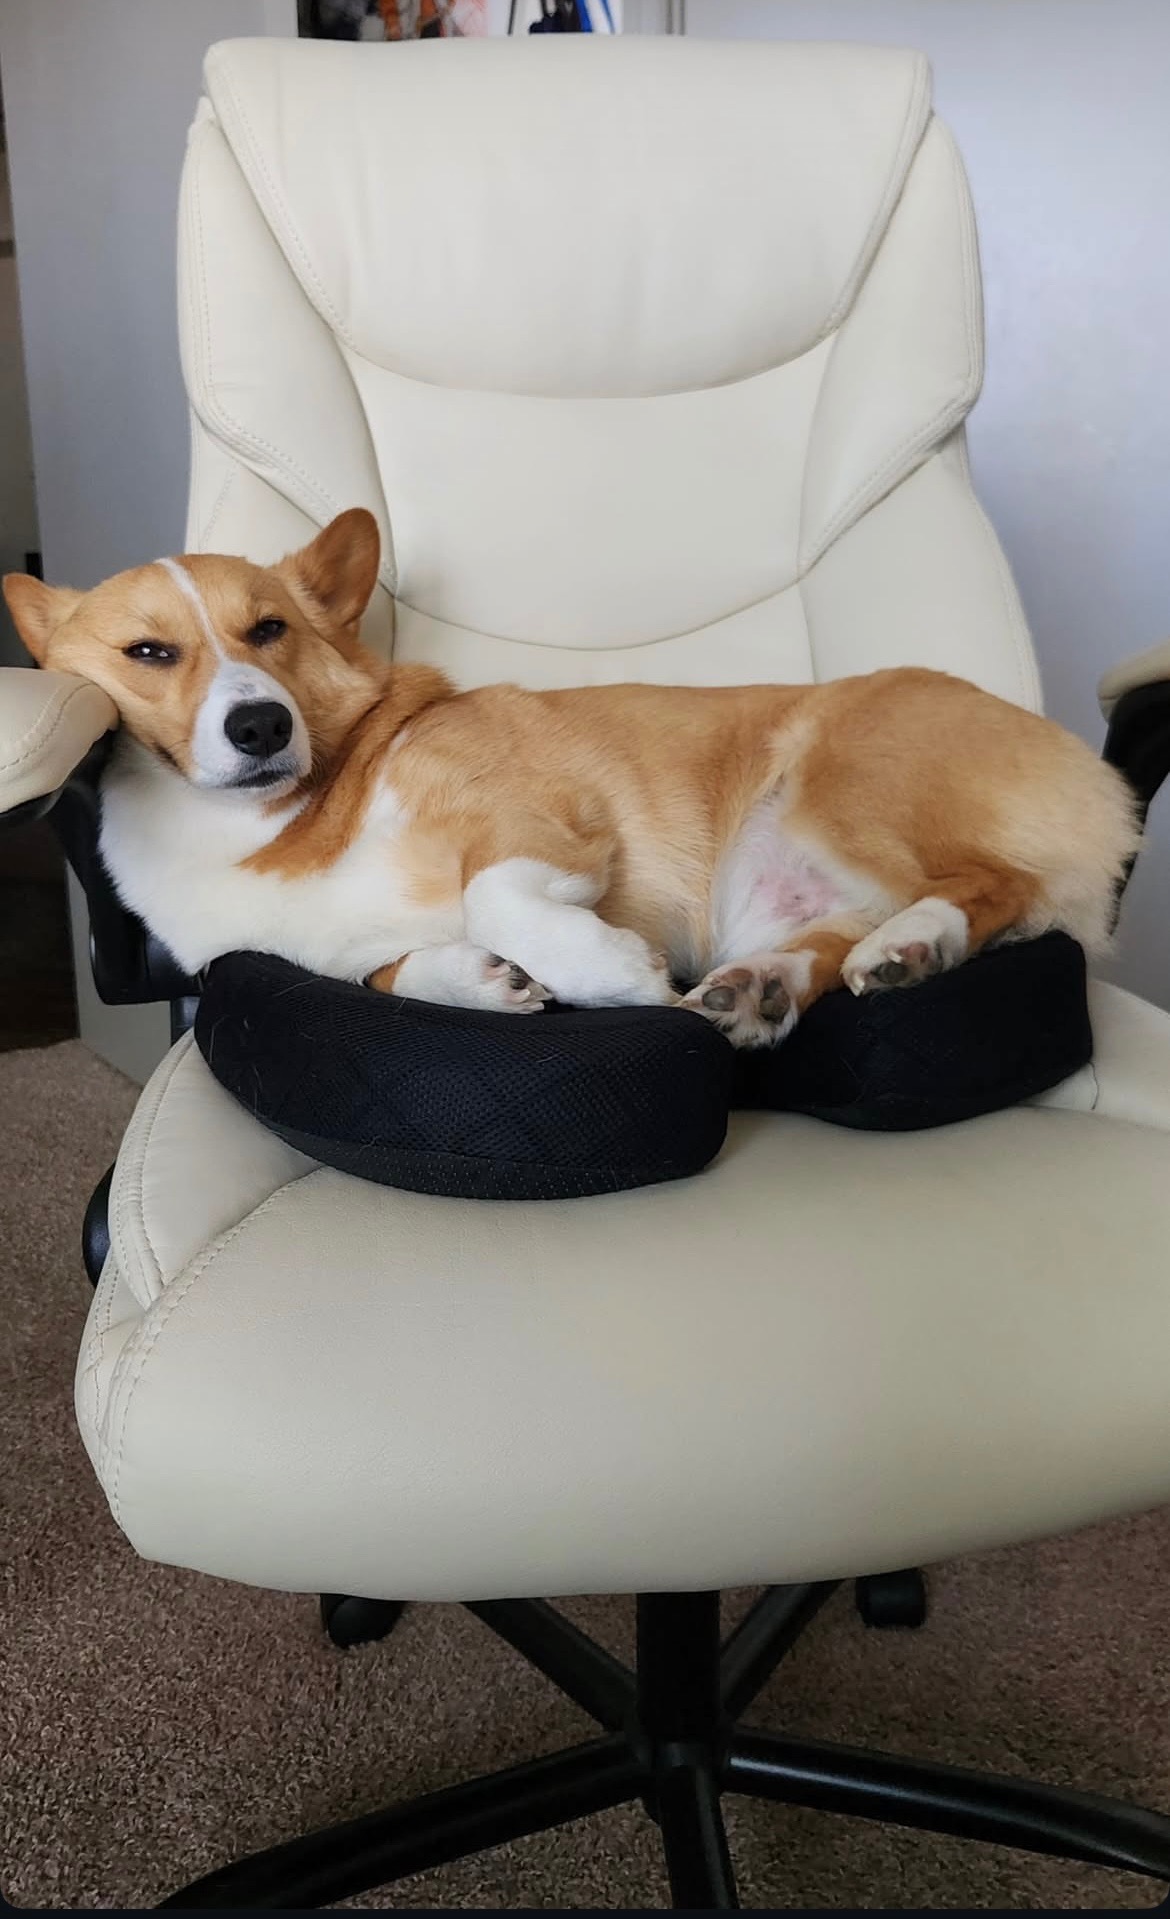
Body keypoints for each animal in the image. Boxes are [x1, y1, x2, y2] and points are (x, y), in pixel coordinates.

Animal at [3, 508, 1140, 1048]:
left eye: (270, 630)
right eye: (150, 652)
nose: (258, 723)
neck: (275, 827)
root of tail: (1102, 784)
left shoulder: (543, 822)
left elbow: (494, 894)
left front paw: (613, 975)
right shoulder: (332, 953)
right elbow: (393, 969)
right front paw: (485, 982)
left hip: (836, 785)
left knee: (1001, 885)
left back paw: (914, 942)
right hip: (775, 889)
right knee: (826, 940)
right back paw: (765, 987)